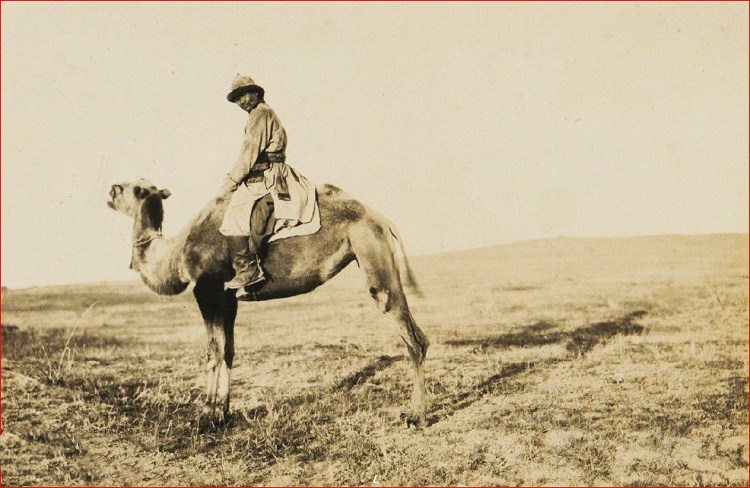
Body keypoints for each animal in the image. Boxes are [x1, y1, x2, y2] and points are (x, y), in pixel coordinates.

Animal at [108, 179, 432, 428]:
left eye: (131, 188)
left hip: (371, 253)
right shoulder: (228, 297)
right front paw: (223, 413)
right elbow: (228, 350)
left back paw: (416, 416)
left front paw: (206, 416)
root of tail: (382, 220)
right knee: (420, 336)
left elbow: (212, 351)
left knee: (411, 338)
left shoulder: (207, 289)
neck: (175, 253)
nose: (110, 190)